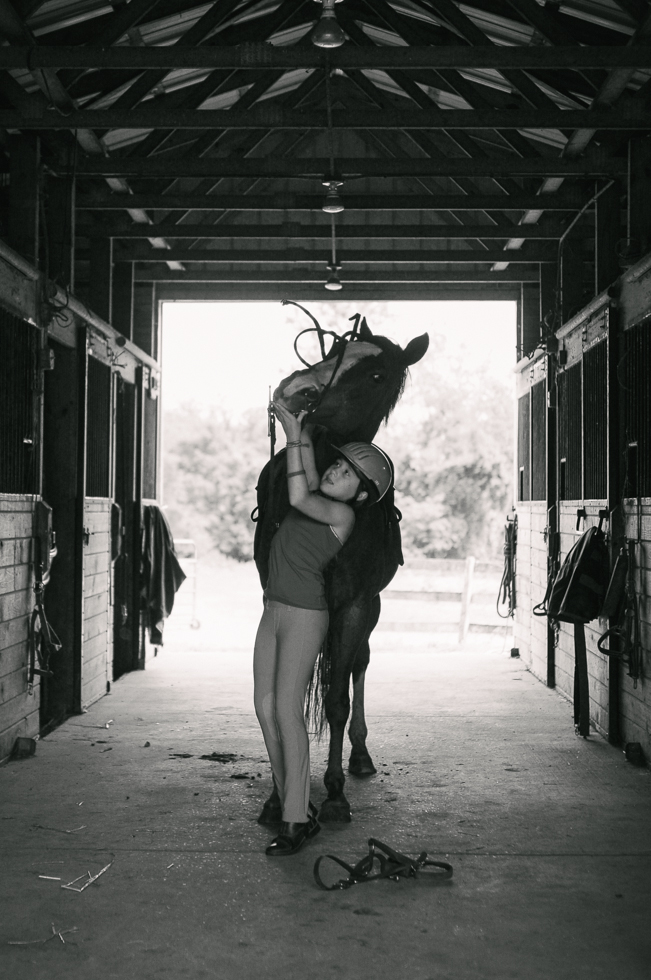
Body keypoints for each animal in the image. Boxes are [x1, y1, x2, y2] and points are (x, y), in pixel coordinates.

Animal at [253, 308, 428, 820]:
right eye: (332, 351)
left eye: (376, 375)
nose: (295, 389)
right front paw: (279, 795)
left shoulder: (354, 604)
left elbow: (336, 698)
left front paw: (333, 791)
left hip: (369, 611)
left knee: (358, 666)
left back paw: (361, 756)